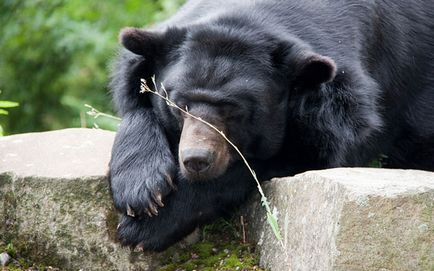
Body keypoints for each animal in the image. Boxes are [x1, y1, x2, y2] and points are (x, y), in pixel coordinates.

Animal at [108, 0, 434, 252]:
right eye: (179, 105)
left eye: (233, 110)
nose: (196, 160)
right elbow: (137, 105)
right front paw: (141, 191)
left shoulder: (338, 114)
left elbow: (268, 161)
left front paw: (147, 227)